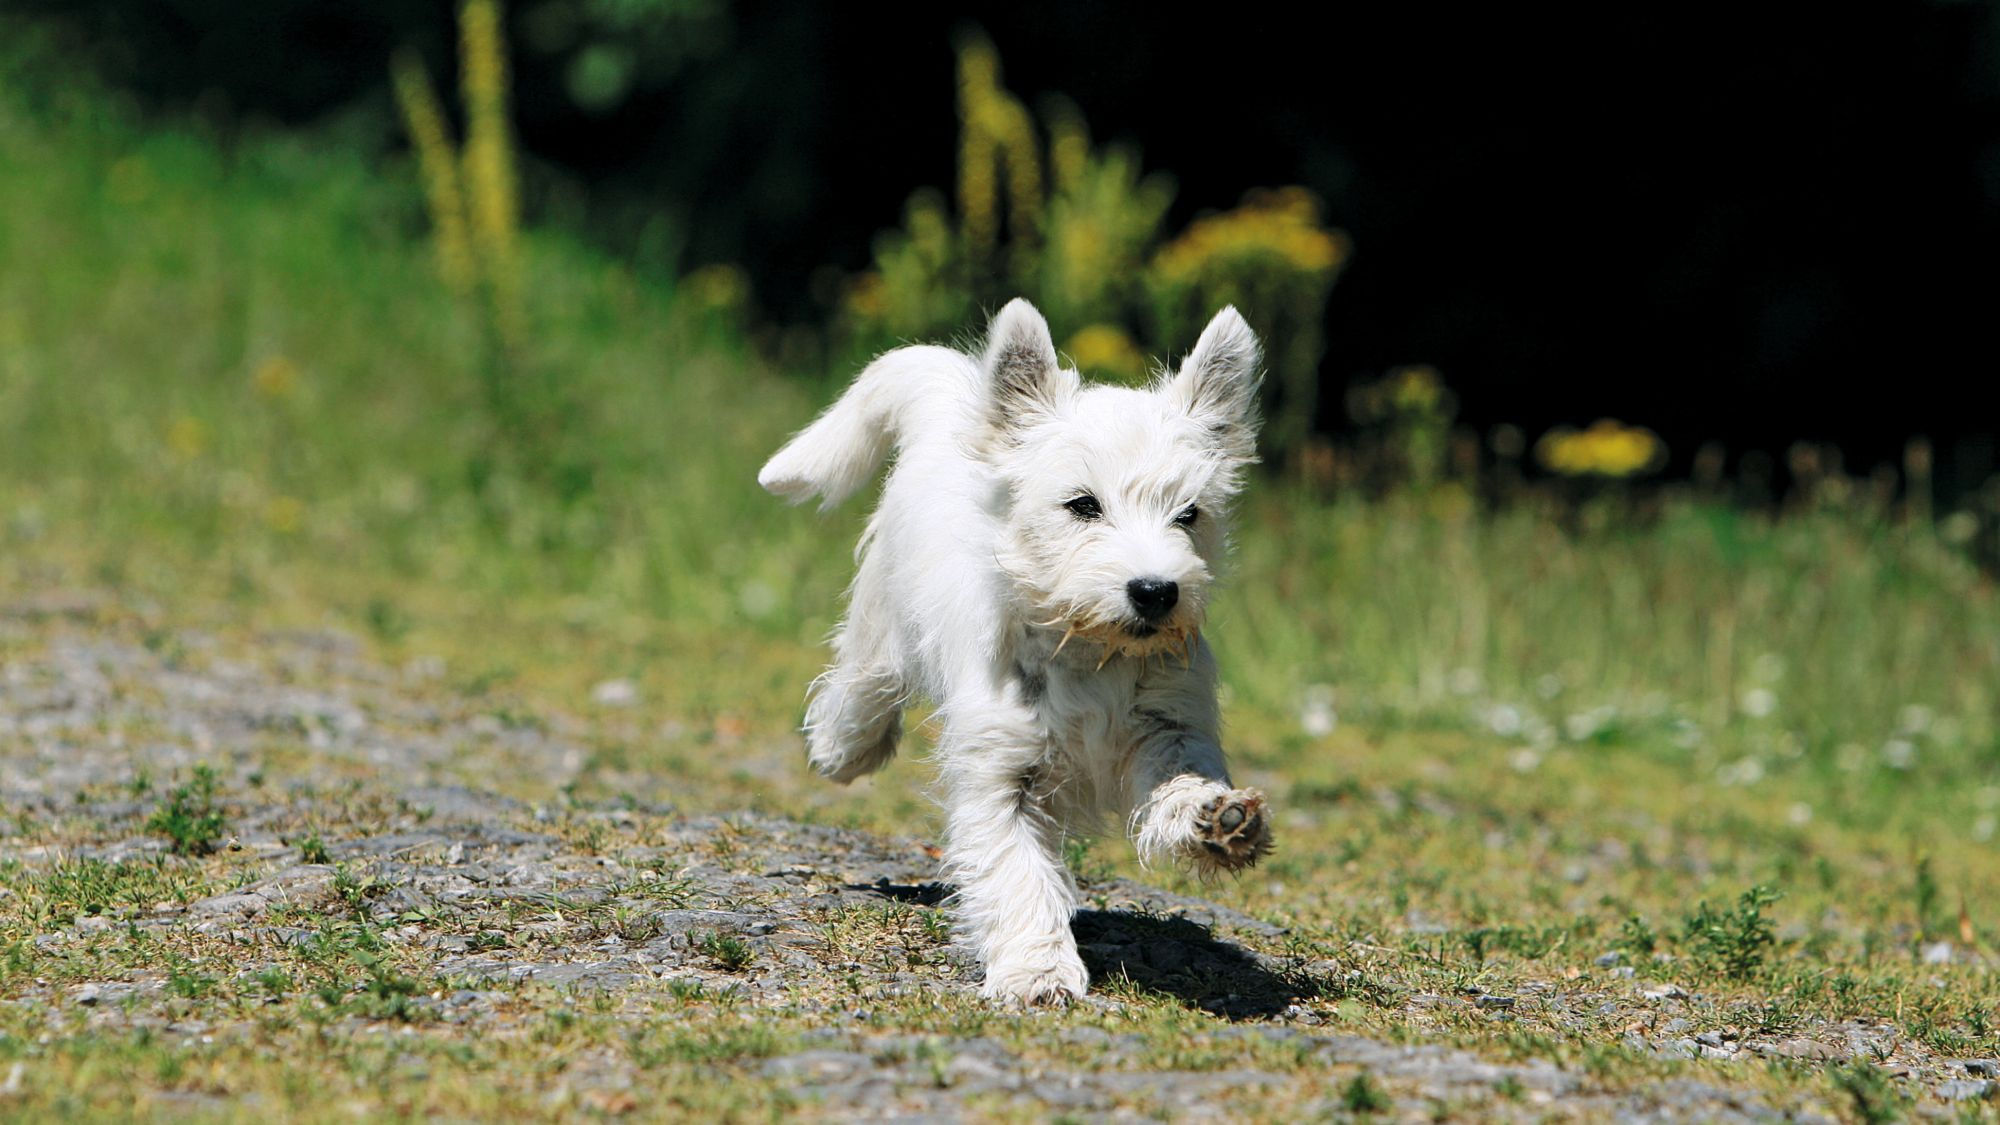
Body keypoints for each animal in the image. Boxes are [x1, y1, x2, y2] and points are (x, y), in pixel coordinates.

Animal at [756, 298, 1272, 996]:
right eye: (1083, 505)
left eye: (1189, 514)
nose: (1155, 591)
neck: (1087, 649)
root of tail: (955, 399)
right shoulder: (1000, 773)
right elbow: (1016, 872)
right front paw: (1038, 969)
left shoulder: (1169, 724)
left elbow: (1178, 778)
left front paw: (1215, 818)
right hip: (883, 618)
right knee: (862, 680)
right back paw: (845, 745)